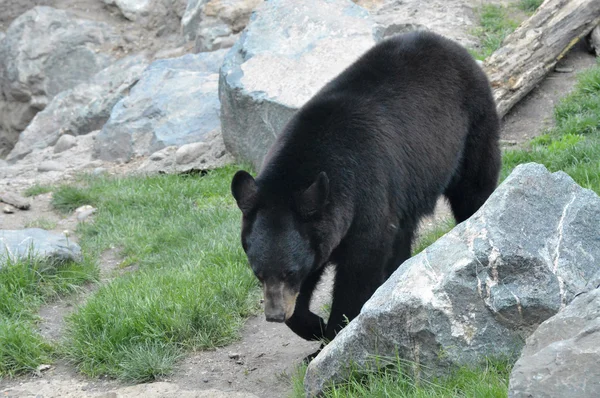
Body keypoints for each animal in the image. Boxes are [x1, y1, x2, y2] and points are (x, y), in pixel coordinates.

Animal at [231, 31, 502, 352]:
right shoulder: (319, 227)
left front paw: (332, 334)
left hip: (472, 126)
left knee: (474, 187)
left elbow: (360, 266)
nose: (273, 315)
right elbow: (316, 268)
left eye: (290, 271)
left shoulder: (366, 192)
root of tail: (446, 42)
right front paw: (312, 324)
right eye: (257, 272)